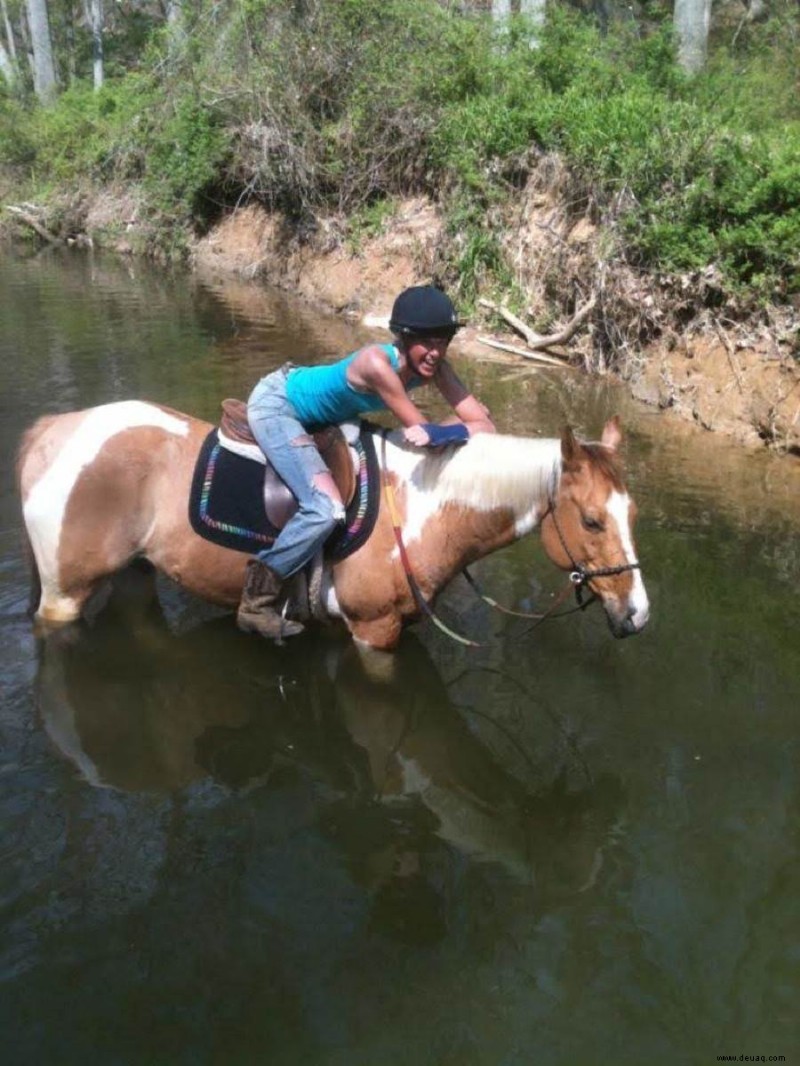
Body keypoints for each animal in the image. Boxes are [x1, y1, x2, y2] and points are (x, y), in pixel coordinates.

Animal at [14, 400, 652, 648]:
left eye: (632, 515)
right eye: (592, 521)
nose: (638, 614)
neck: (420, 510)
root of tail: (52, 429)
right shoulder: (374, 633)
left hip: (136, 572)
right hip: (65, 592)